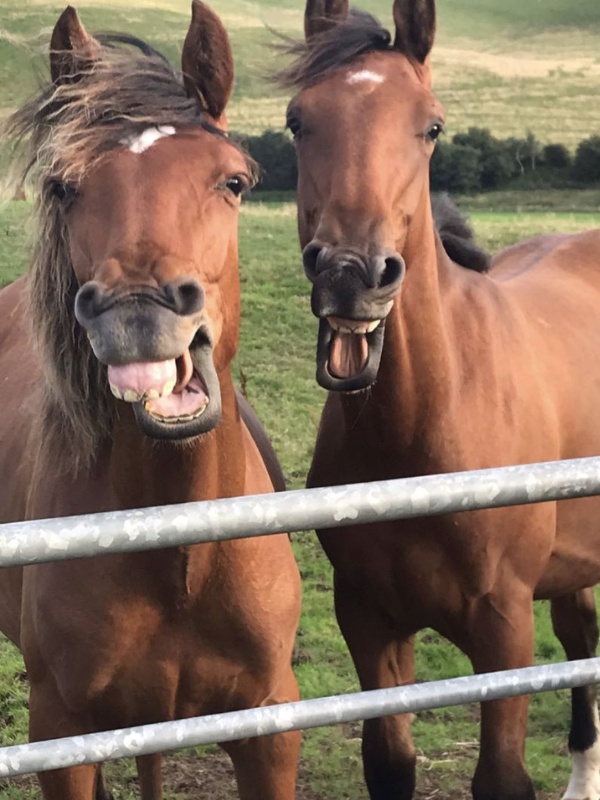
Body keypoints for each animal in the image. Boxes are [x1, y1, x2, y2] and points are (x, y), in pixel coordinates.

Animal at [0, 3, 301, 798]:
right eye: (65, 187)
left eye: (233, 182)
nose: (138, 311)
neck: (180, 557)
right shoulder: (61, 733)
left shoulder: (270, 726)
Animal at [280, 1, 600, 798]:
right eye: (299, 120)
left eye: (432, 126)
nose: (352, 274)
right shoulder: (370, 621)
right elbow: (389, 764)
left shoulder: (504, 630)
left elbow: (502, 776)